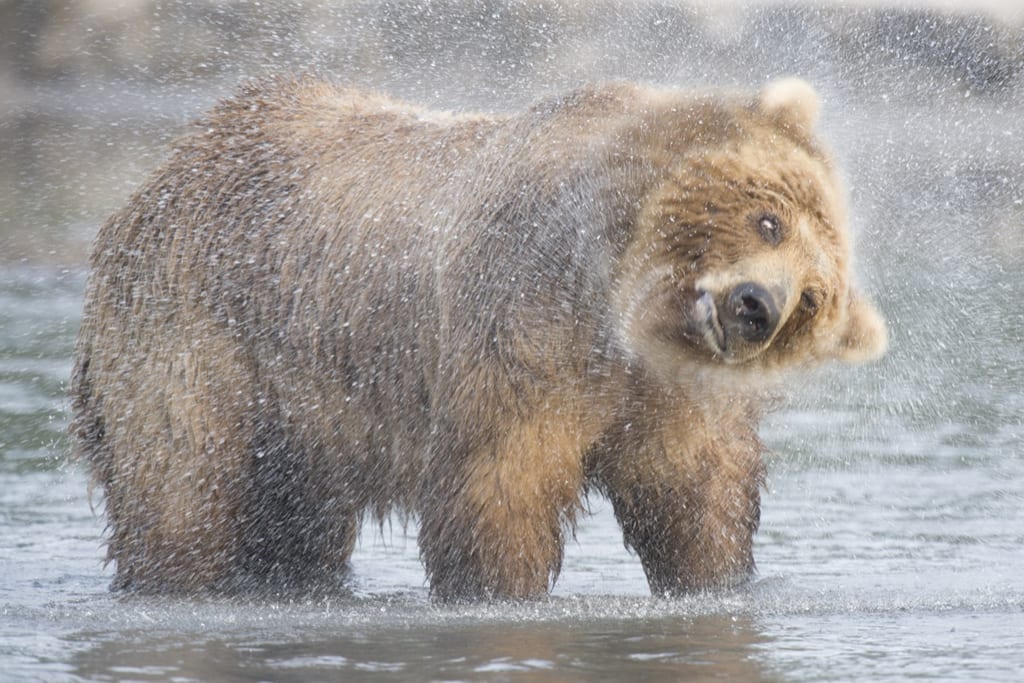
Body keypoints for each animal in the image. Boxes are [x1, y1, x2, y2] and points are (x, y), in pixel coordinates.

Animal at [72, 73, 888, 598]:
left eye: (811, 298)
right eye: (769, 219)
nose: (757, 305)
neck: (614, 309)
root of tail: (173, 162)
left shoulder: (666, 393)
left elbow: (698, 493)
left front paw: (714, 579)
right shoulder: (523, 325)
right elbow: (500, 483)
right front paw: (499, 589)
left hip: (304, 412)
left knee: (296, 519)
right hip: (196, 329)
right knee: (181, 486)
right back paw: (173, 581)